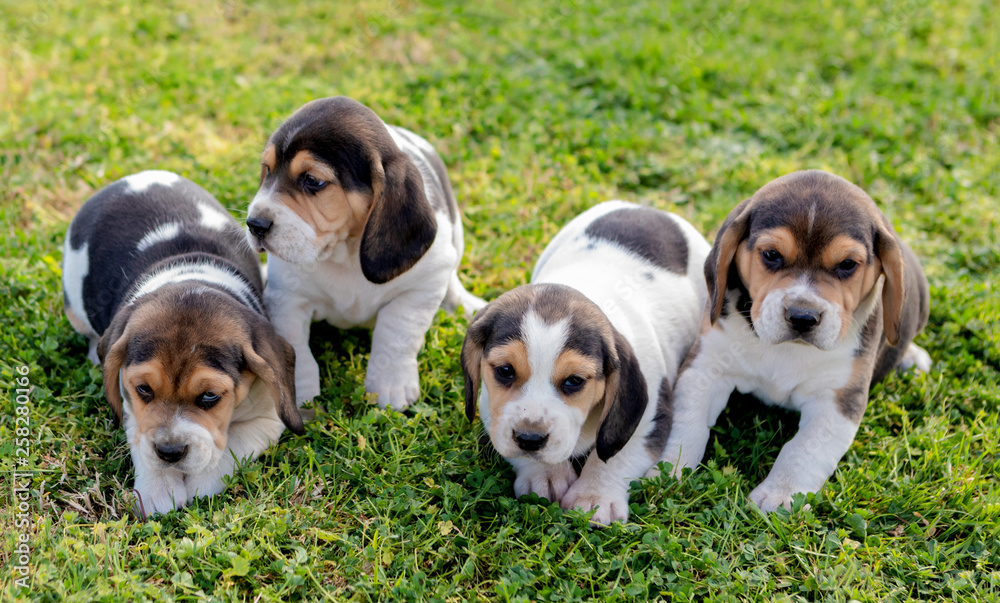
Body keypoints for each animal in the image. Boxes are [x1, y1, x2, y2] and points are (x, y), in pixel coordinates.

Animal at [63, 171, 302, 520]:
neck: (192, 279)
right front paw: (158, 487)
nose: (170, 452)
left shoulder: (269, 417)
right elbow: (141, 435)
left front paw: (204, 478)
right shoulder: (131, 407)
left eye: (210, 396)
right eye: (144, 390)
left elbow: (233, 442)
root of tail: (133, 177)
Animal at [248, 96, 486, 412]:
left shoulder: (422, 286)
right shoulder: (288, 296)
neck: (345, 251)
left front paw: (390, 386)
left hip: (455, 236)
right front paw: (300, 394)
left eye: (312, 180)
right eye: (266, 170)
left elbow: (396, 333)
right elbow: (295, 345)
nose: (254, 224)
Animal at [460, 202, 712, 524]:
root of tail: (645, 207)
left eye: (574, 381)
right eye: (505, 371)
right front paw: (545, 473)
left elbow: (615, 454)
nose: (530, 438)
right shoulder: (490, 405)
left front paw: (594, 496)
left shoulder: (650, 416)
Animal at [656, 169, 928, 510]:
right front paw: (667, 468)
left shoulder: (837, 399)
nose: (802, 317)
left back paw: (911, 356)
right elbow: (686, 422)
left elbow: (804, 449)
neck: (788, 351)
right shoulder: (705, 368)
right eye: (772, 255)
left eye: (847, 265)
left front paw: (780, 494)